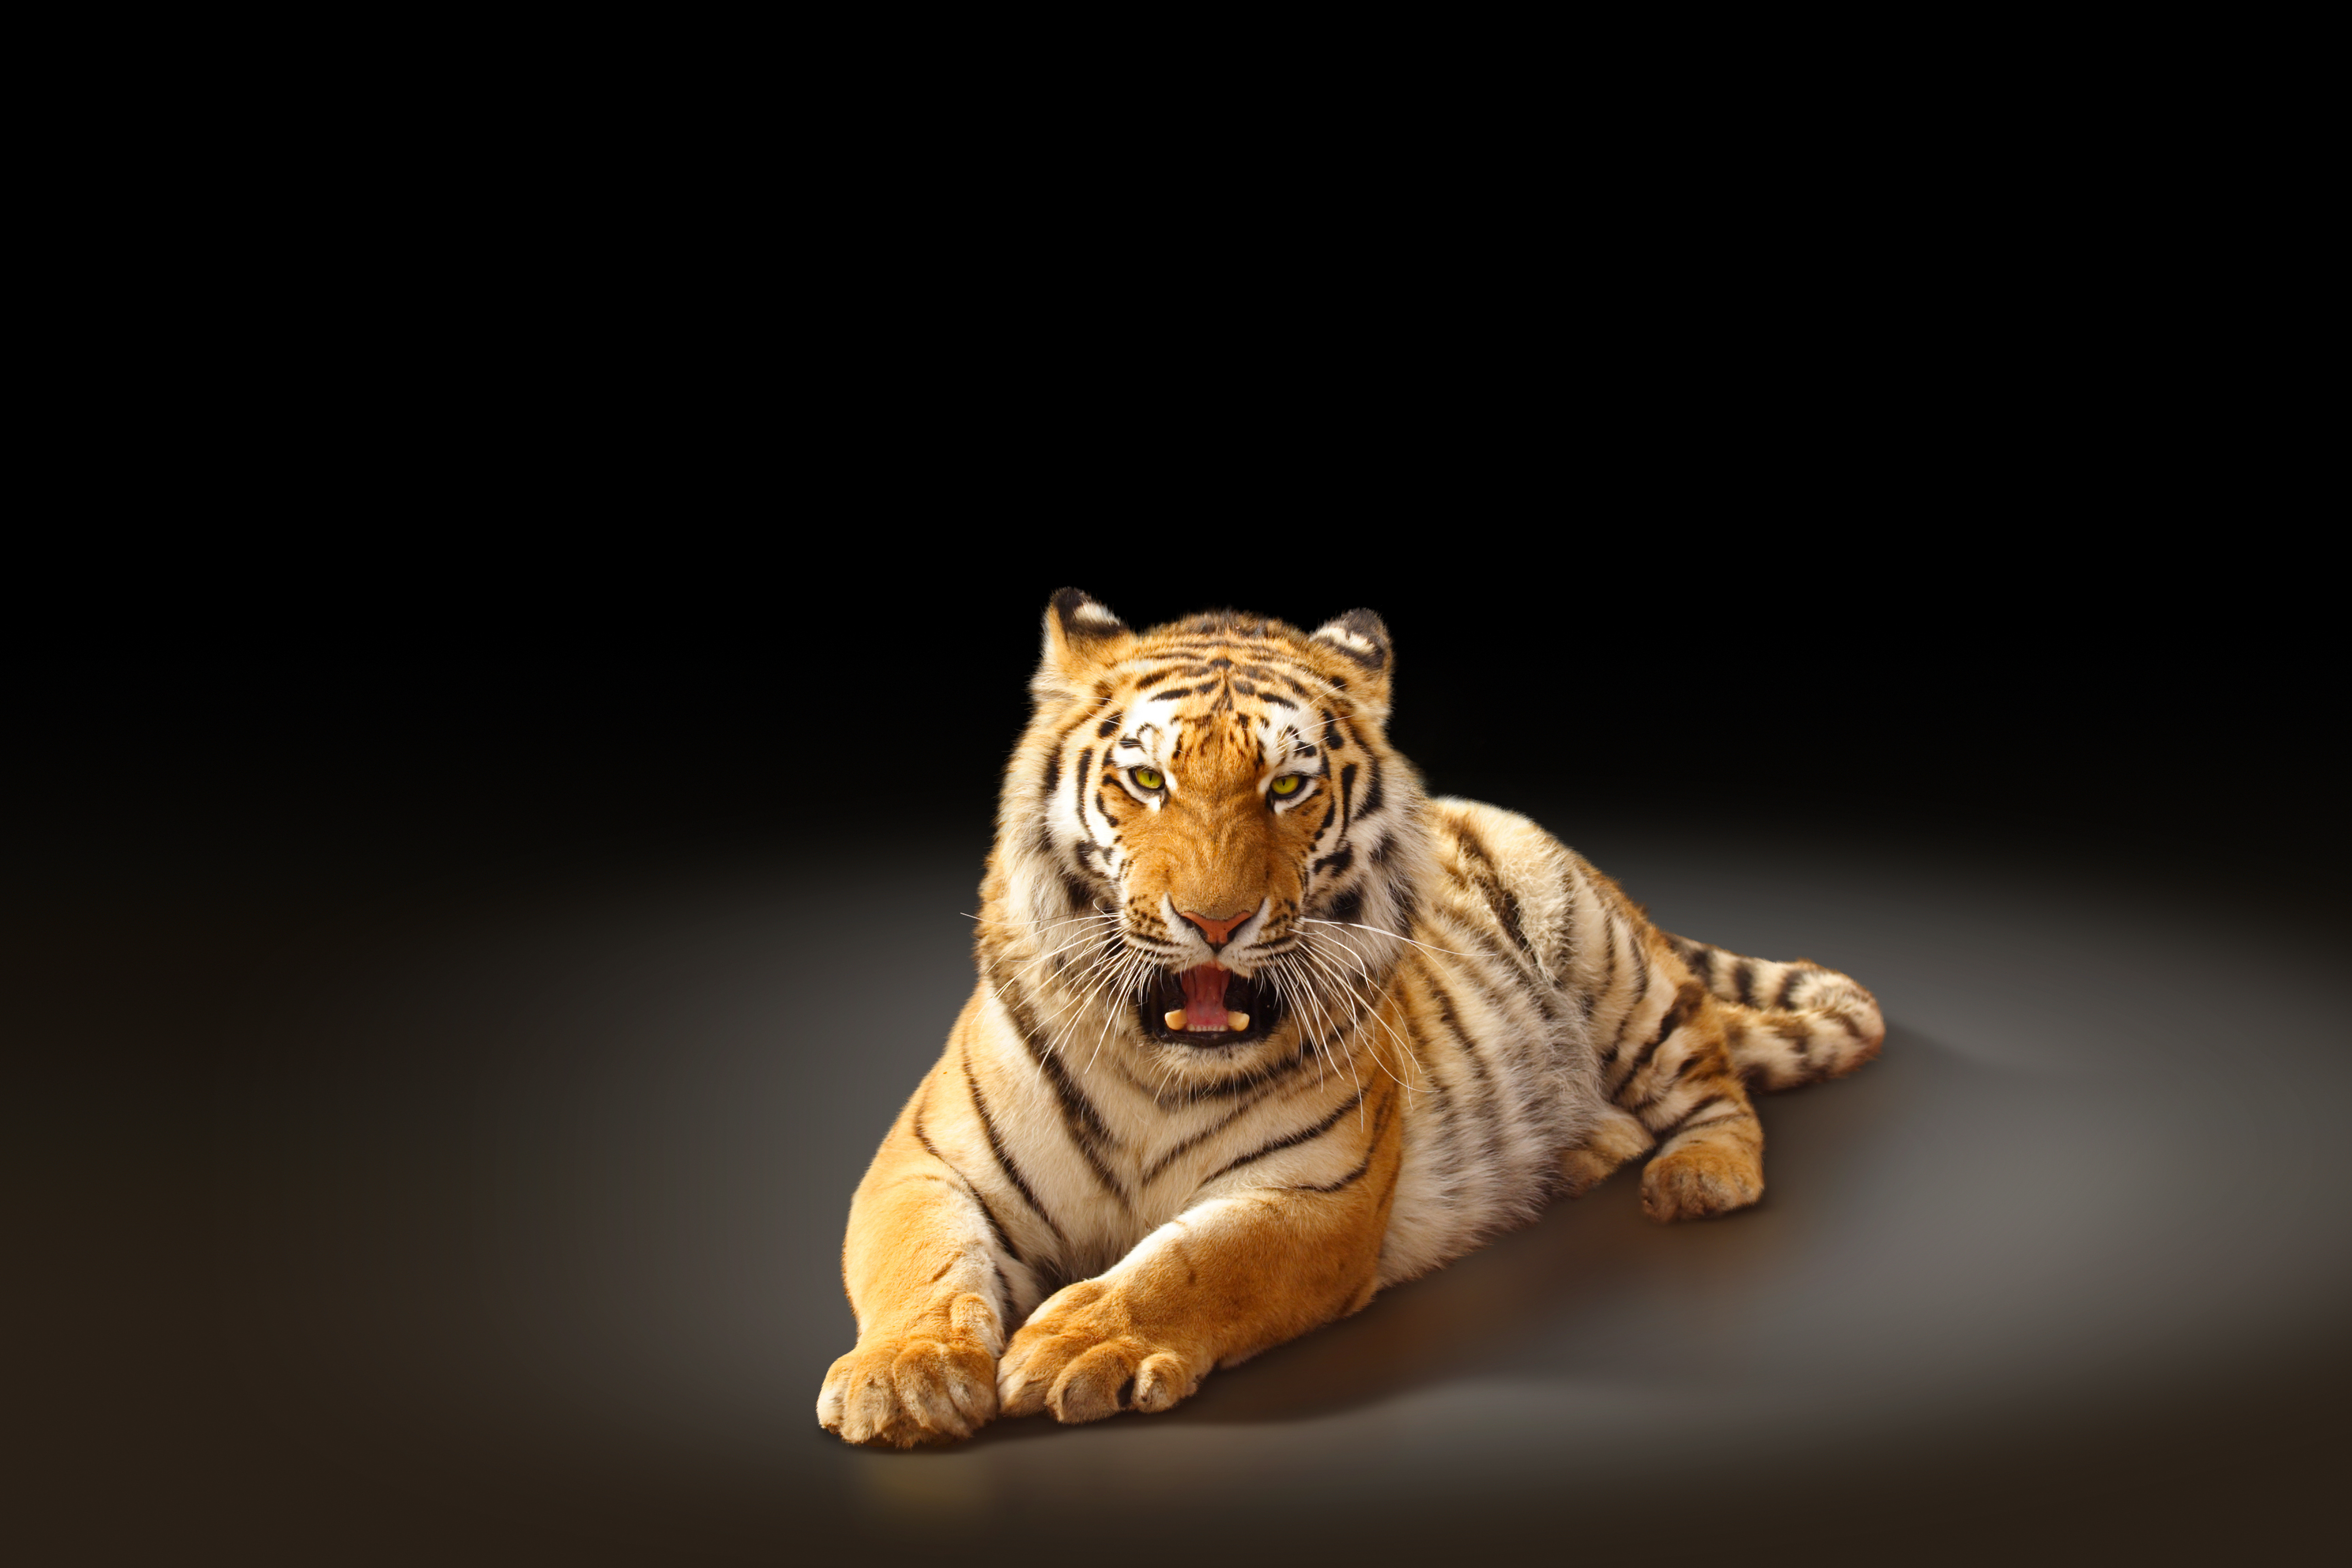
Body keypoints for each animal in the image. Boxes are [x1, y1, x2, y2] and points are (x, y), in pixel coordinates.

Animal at [817, 590, 1884, 1447]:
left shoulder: (1312, 1196)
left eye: (1287, 786)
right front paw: (905, 1378)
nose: (1215, 923)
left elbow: (1189, 1265)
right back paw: (1582, 1151)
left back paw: (1697, 1174)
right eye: (1148, 781)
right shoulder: (924, 1160)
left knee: (1714, 1078)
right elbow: (919, 1260)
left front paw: (1075, 1344)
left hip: (1610, 968)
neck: (1159, 1069)